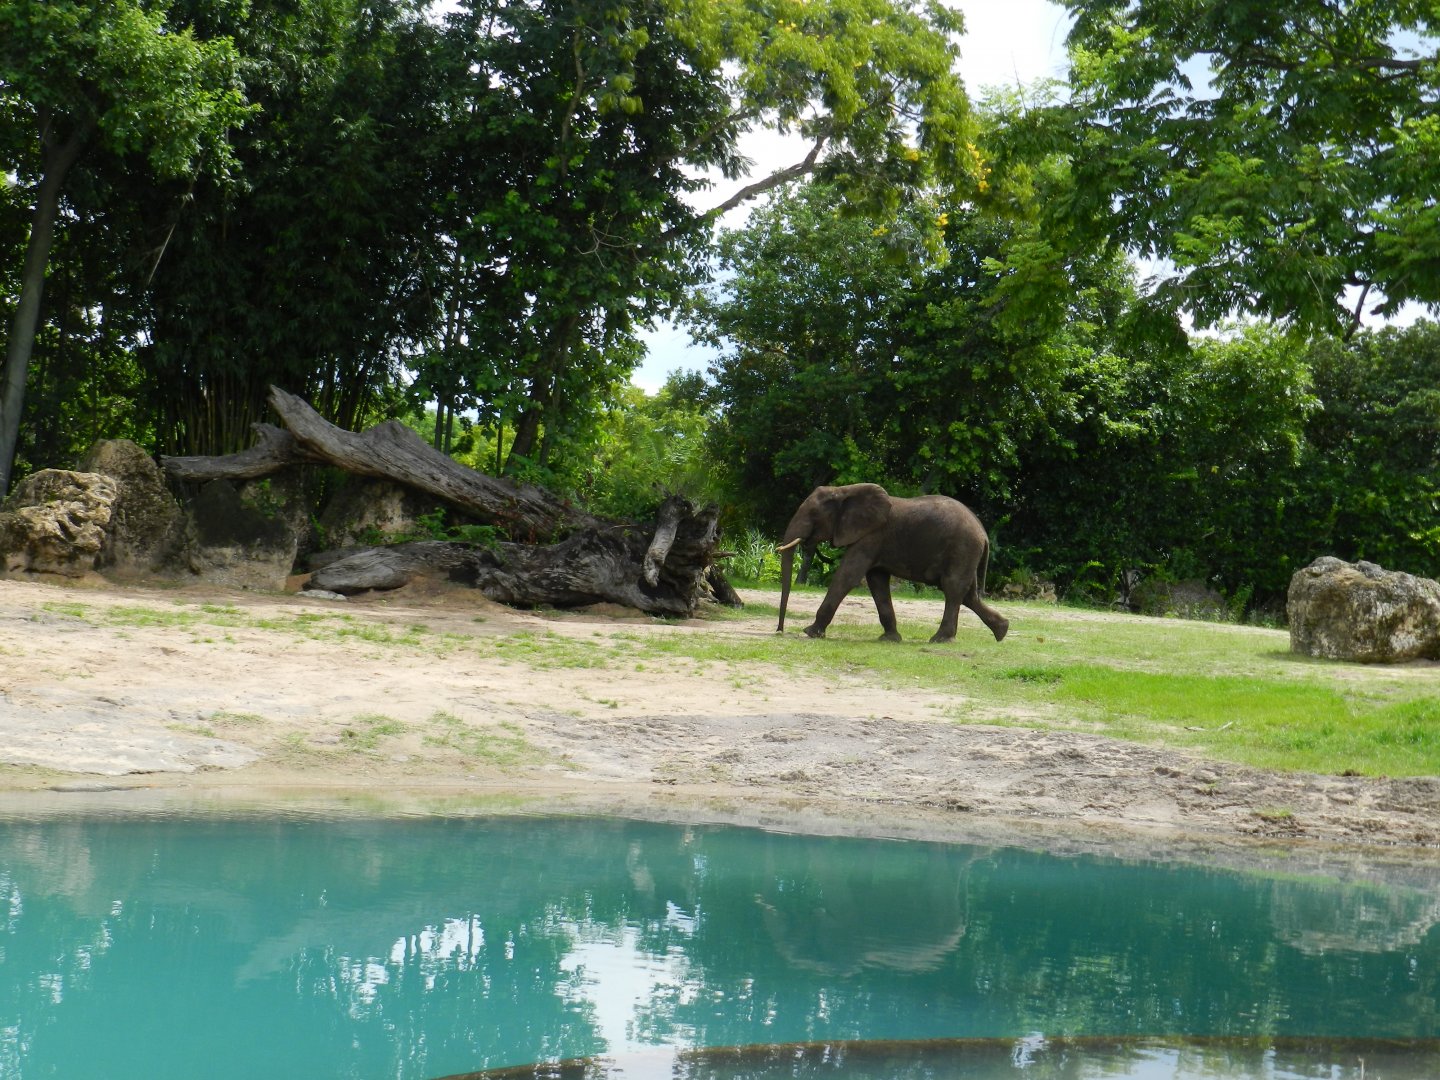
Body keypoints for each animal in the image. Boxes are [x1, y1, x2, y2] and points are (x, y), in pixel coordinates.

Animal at [775, 483, 1009, 644]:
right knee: (968, 595)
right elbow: (876, 581)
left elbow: (848, 575)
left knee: (952, 588)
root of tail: (984, 534)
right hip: (965, 553)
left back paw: (940, 639)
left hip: (962, 548)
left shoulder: (871, 537)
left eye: (813, 514)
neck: (844, 490)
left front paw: (810, 632)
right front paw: (889, 639)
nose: (779, 631)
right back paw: (1002, 631)